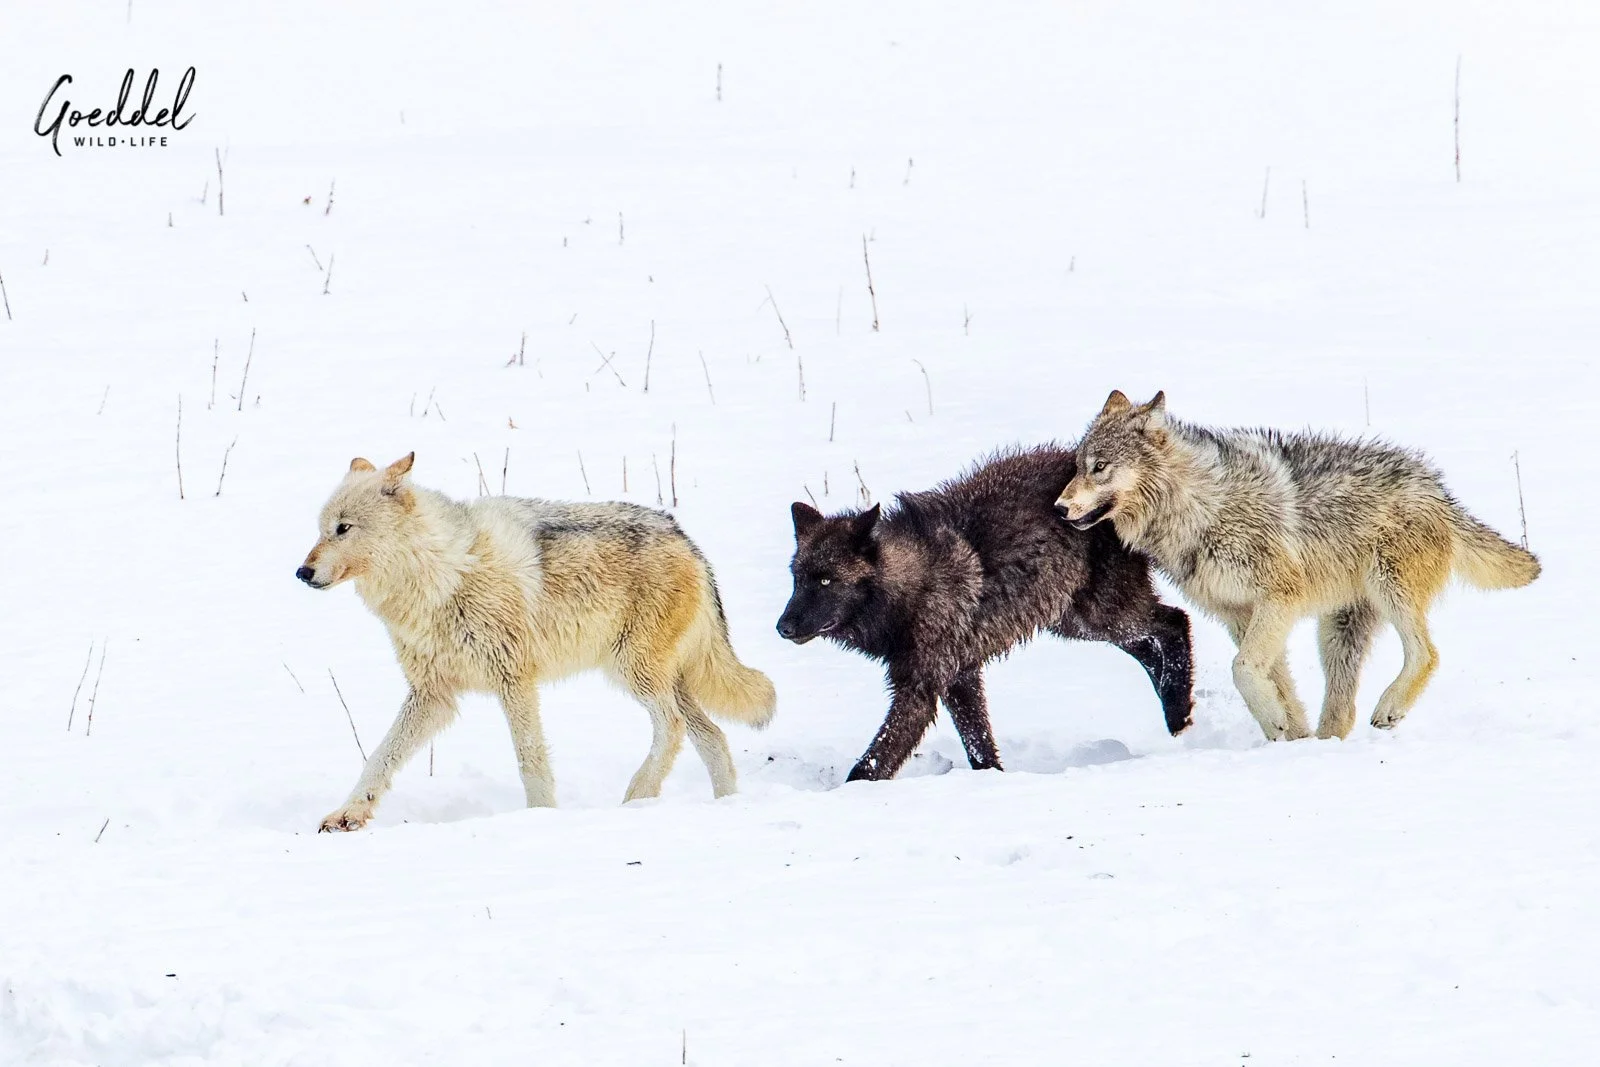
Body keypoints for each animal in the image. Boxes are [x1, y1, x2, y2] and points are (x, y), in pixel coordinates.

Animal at [296, 453, 775, 831]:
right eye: (320, 530)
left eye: (343, 528)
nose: (302, 572)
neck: (441, 576)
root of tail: (686, 538)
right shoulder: (433, 694)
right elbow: (380, 756)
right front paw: (348, 814)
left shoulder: (516, 682)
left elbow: (530, 760)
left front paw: (540, 817)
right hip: (662, 678)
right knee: (712, 736)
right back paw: (726, 803)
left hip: (634, 672)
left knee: (673, 727)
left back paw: (638, 794)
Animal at [775, 446, 1194, 782]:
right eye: (797, 578)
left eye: (826, 581)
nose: (782, 627)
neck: (914, 582)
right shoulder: (960, 677)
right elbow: (979, 745)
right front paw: (990, 782)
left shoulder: (920, 689)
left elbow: (874, 761)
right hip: (1082, 623)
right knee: (1150, 644)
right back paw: (1176, 710)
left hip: (1105, 614)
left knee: (1174, 621)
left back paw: (1177, 711)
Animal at [1056, 390, 1541, 741]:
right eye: (1077, 467)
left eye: (1100, 467)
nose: (1059, 508)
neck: (1198, 508)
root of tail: (1439, 490)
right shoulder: (1239, 614)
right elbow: (1276, 684)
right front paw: (1290, 735)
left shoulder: (1279, 599)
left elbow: (1243, 669)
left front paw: (1277, 725)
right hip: (1337, 631)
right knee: (1343, 711)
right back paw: (1324, 744)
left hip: (1390, 589)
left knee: (1427, 654)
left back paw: (1389, 709)